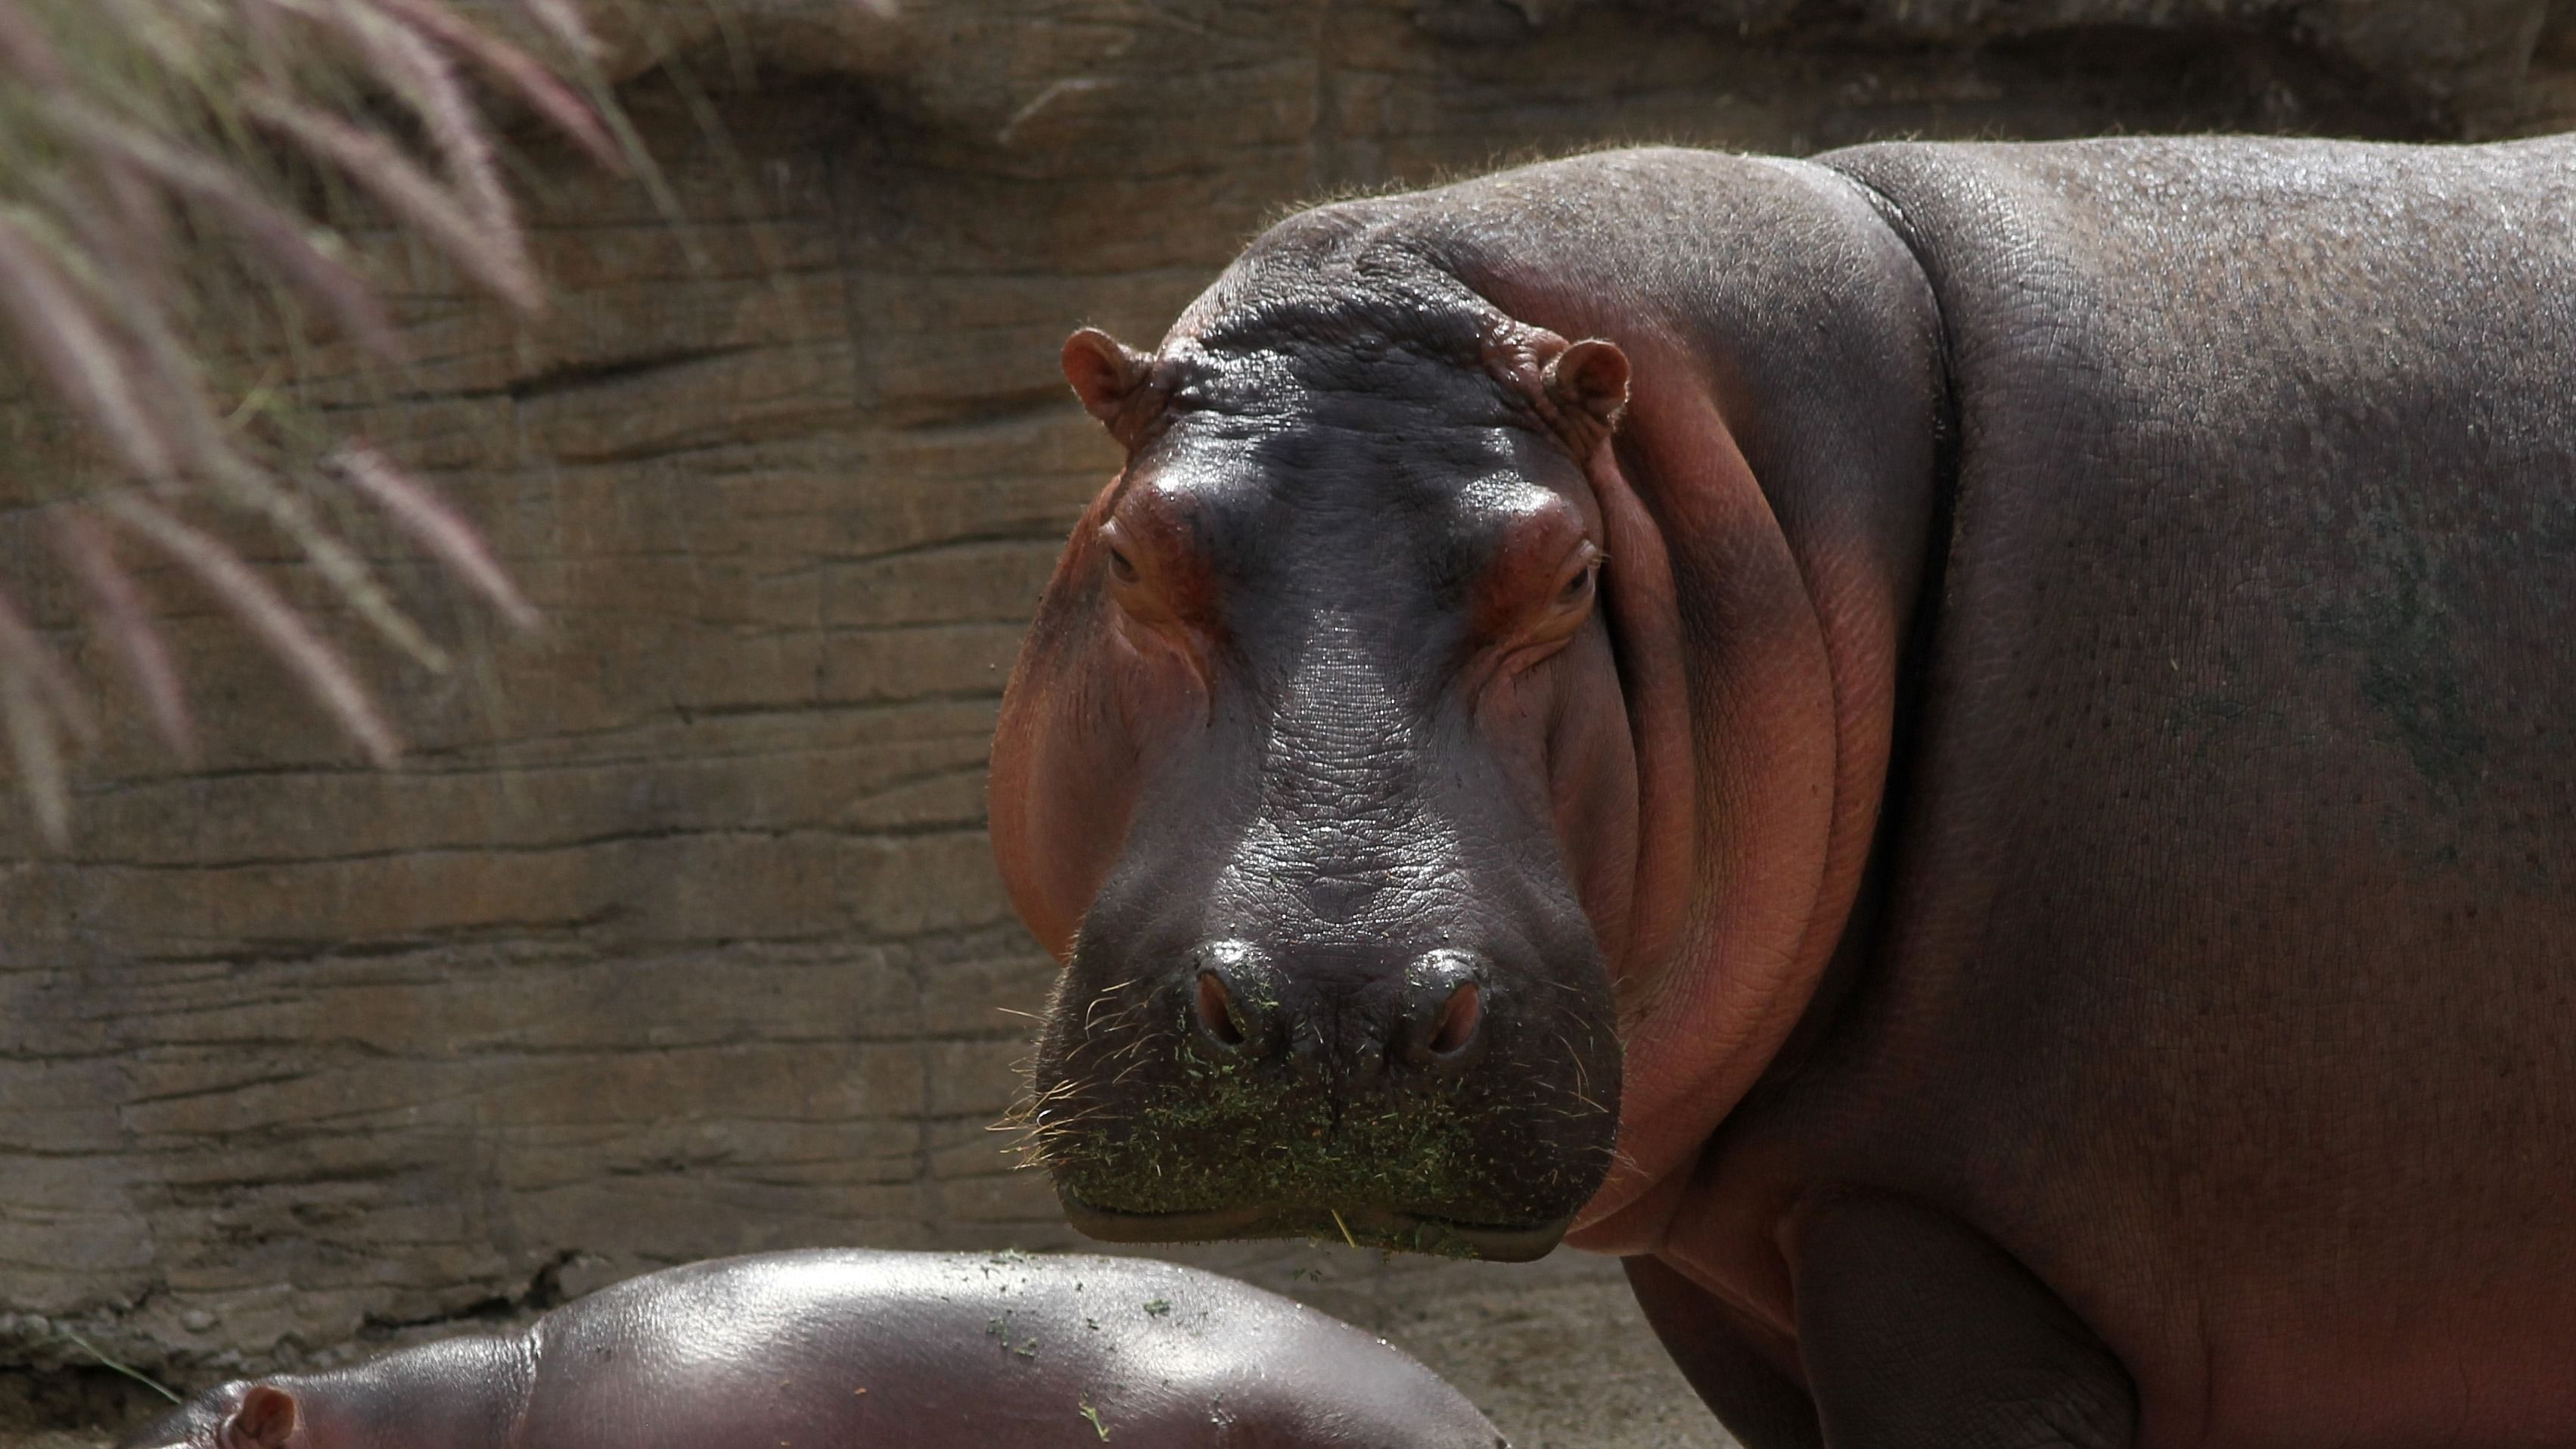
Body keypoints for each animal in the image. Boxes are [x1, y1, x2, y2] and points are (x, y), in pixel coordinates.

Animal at [983, 135, 2576, 1444]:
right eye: (1129, 550)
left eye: (1570, 573)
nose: (1334, 1014)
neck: (1783, 516)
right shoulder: (1749, 1284)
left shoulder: (1936, 1242)